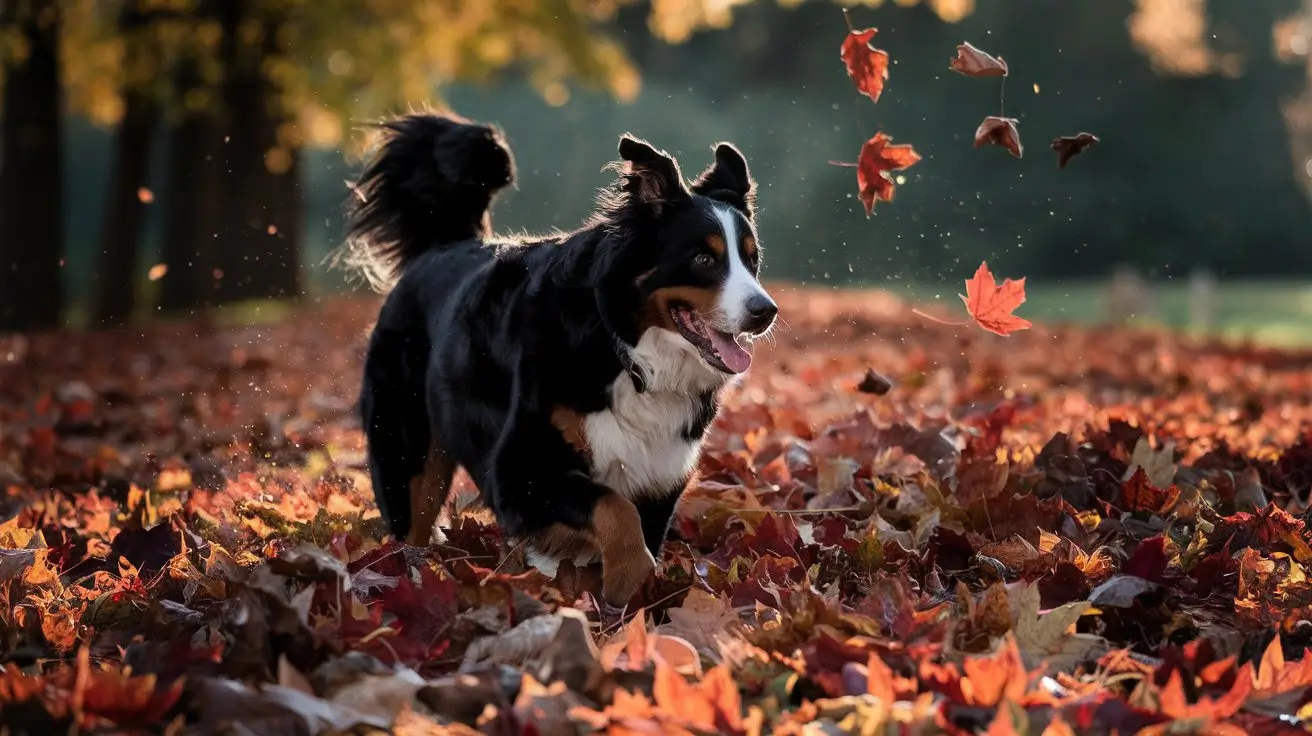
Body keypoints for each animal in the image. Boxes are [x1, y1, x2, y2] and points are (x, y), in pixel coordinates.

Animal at [343, 112, 776, 606]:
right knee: (408, 529)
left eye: (752, 260)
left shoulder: (661, 473)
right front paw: (627, 583)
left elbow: (627, 522)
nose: (765, 311)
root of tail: (443, 246)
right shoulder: (519, 471)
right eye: (704, 259)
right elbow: (614, 509)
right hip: (406, 454)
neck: (623, 350)